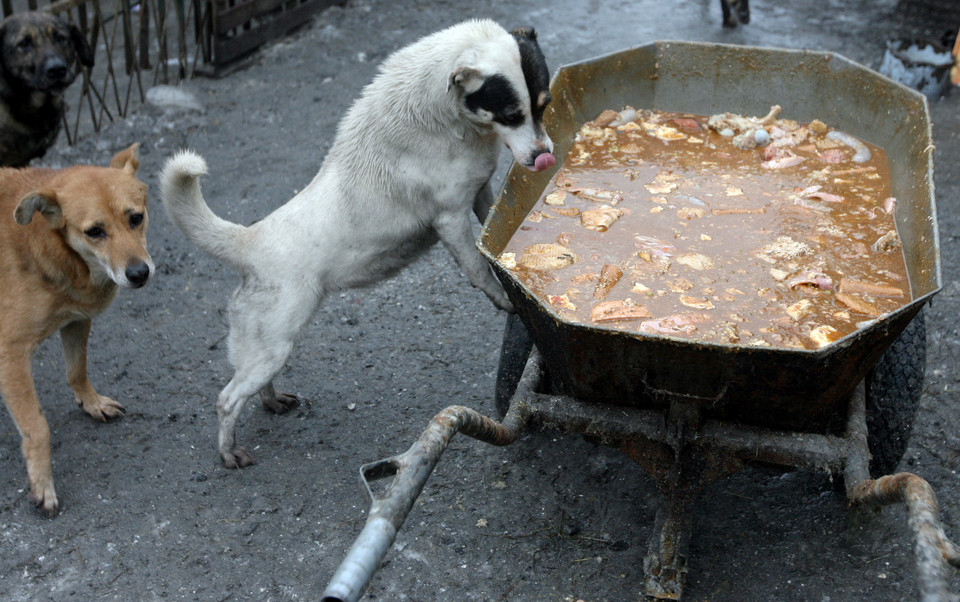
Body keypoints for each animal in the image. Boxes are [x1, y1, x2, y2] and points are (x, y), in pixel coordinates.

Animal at [0, 143, 152, 512]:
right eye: (94, 231)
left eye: (136, 217)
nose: (139, 274)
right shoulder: (10, 352)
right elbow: (37, 426)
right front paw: (43, 483)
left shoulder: (76, 320)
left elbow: (76, 370)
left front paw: (91, 402)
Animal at [161, 19, 556, 464]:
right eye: (511, 115)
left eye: (544, 106)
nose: (544, 155)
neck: (443, 116)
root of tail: (248, 240)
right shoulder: (450, 217)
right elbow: (475, 264)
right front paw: (503, 295)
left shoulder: (480, 191)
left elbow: (493, 228)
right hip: (273, 343)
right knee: (226, 399)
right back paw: (230, 453)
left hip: (264, 347)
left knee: (251, 385)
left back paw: (272, 401)